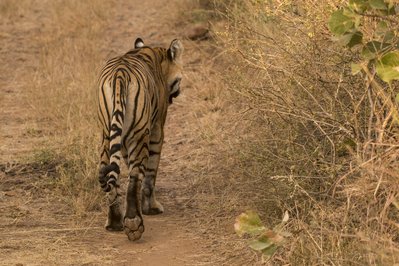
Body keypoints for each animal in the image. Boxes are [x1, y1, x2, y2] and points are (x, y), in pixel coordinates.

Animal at [97, 38, 184, 241]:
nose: (178, 92)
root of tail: (120, 74)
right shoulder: (157, 129)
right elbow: (151, 173)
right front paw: (151, 208)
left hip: (107, 135)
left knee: (110, 173)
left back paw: (114, 222)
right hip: (139, 135)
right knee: (135, 178)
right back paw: (133, 224)